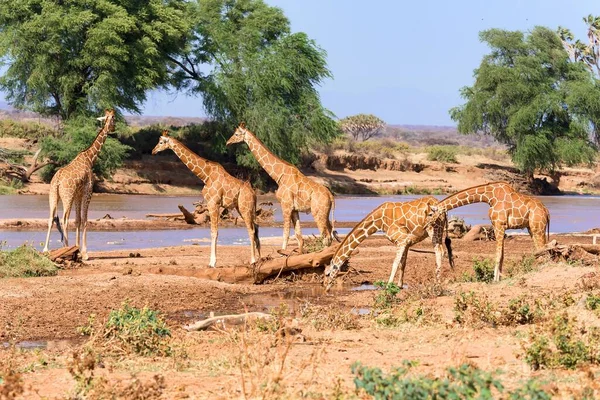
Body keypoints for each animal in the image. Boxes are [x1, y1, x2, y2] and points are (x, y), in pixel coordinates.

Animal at [42, 109, 117, 260]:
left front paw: (77, 249)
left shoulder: (78, 194)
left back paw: (46, 249)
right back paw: (65, 248)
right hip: (67, 196)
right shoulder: (88, 191)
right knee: (64, 219)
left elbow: (77, 220)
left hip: (53, 195)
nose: (114, 128)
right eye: (114, 118)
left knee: (51, 218)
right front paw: (84, 253)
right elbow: (85, 220)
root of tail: (57, 180)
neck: (90, 158)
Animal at [151, 131, 258, 268]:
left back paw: (253, 261)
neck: (205, 175)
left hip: (245, 208)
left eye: (161, 142)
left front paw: (212, 263)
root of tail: (254, 194)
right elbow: (213, 231)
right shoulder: (212, 204)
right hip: (242, 208)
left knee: (251, 230)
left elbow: (214, 232)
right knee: (254, 228)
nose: (153, 151)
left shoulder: (213, 203)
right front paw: (212, 261)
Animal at [226, 122, 338, 253]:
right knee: (329, 234)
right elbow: (299, 237)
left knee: (326, 236)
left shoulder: (286, 205)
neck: (279, 175)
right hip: (326, 213)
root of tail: (331, 196)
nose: (228, 142)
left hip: (318, 212)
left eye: (236, 134)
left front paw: (283, 253)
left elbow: (286, 234)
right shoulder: (294, 209)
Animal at [322, 197, 452, 290]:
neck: (379, 221)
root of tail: (443, 209)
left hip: (434, 229)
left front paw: (389, 285)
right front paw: (399, 285)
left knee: (439, 251)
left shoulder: (402, 240)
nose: (326, 287)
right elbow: (402, 263)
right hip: (438, 230)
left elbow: (395, 263)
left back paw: (437, 283)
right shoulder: (406, 242)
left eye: (327, 274)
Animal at [424, 181, 552, 282]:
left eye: (430, 214)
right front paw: (499, 278)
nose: (425, 225)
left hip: (537, 228)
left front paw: (494, 279)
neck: (489, 196)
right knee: (542, 250)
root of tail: (546, 211)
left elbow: (498, 254)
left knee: (545, 249)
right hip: (532, 229)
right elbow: (502, 255)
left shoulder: (499, 225)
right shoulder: (499, 226)